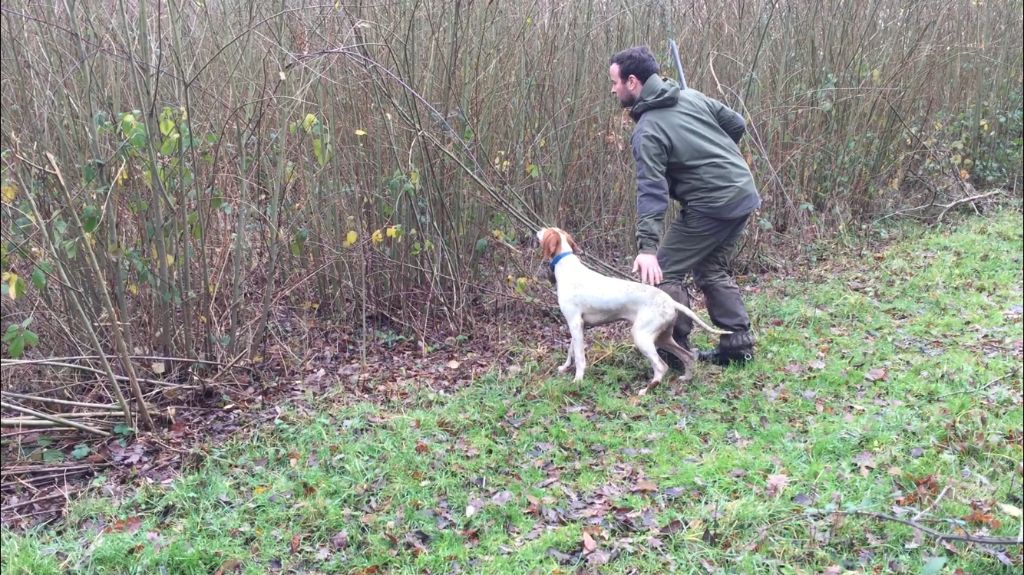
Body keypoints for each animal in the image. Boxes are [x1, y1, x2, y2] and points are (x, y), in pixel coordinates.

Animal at [536, 226, 729, 386]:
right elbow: (571, 350)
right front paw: (564, 368)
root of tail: (670, 301)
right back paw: (686, 378)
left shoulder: (575, 323)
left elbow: (580, 357)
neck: (566, 265)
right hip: (662, 337)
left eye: (546, 230)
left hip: (641, 336)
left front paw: (578, 379)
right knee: (688, 356)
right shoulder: (578, 326)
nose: (537, 230)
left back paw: (646, 390)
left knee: (661, 366)